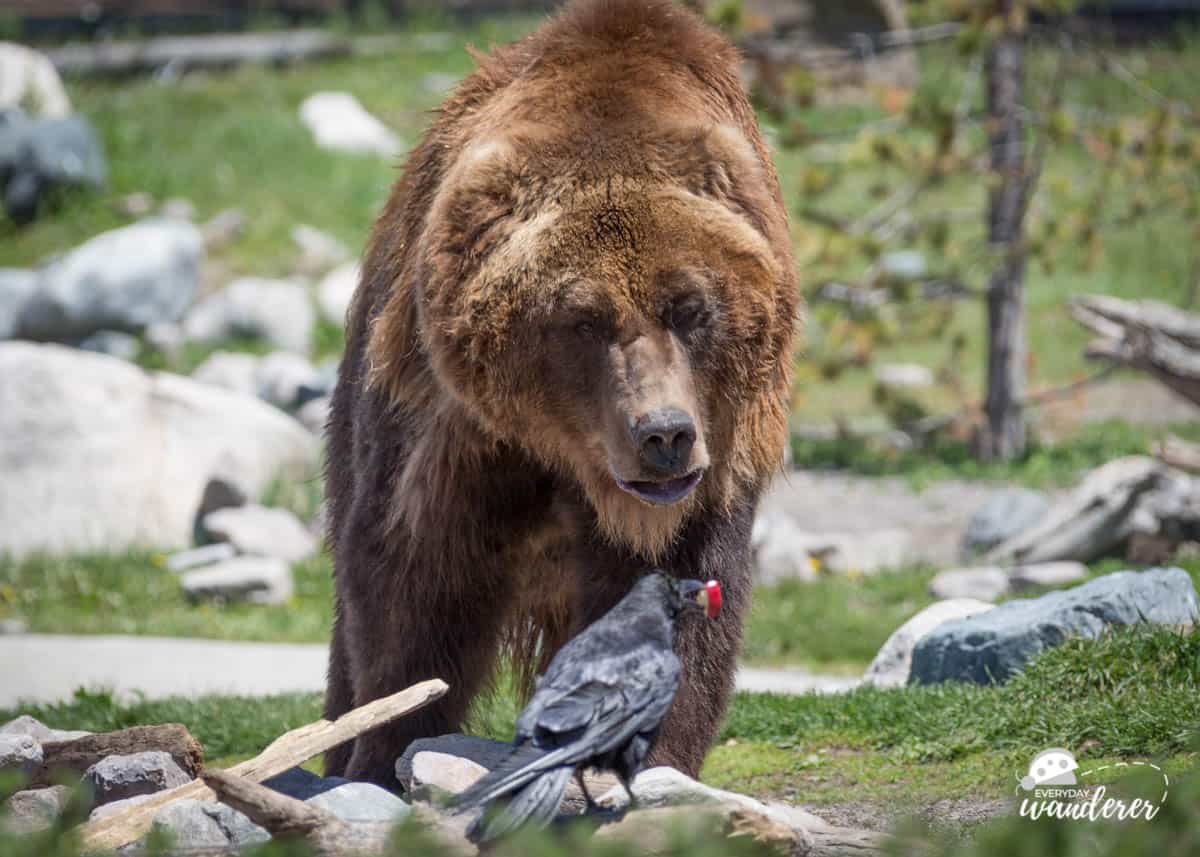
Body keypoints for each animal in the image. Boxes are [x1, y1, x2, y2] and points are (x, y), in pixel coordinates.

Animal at [324, 0, 801, 782]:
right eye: (583, 319)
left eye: (690, 307)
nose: (664, 434)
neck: (572, 463)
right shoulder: (452, 436)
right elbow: (410, 589)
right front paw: (379, 754)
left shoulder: (711, 471)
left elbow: (680, 606)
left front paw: (653, 760)